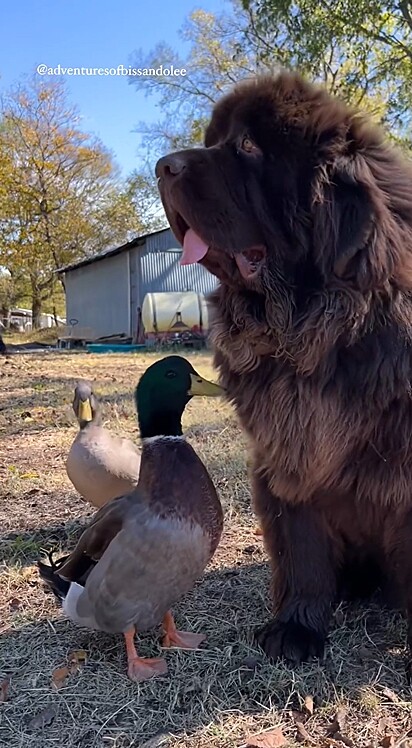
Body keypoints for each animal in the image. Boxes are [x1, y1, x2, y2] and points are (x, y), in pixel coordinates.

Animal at [155, 71, 412, 668]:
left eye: (249, 146)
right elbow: (302, 549)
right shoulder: (287, 457)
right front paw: (296, 628)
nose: (161, 165)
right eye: (215, 140)